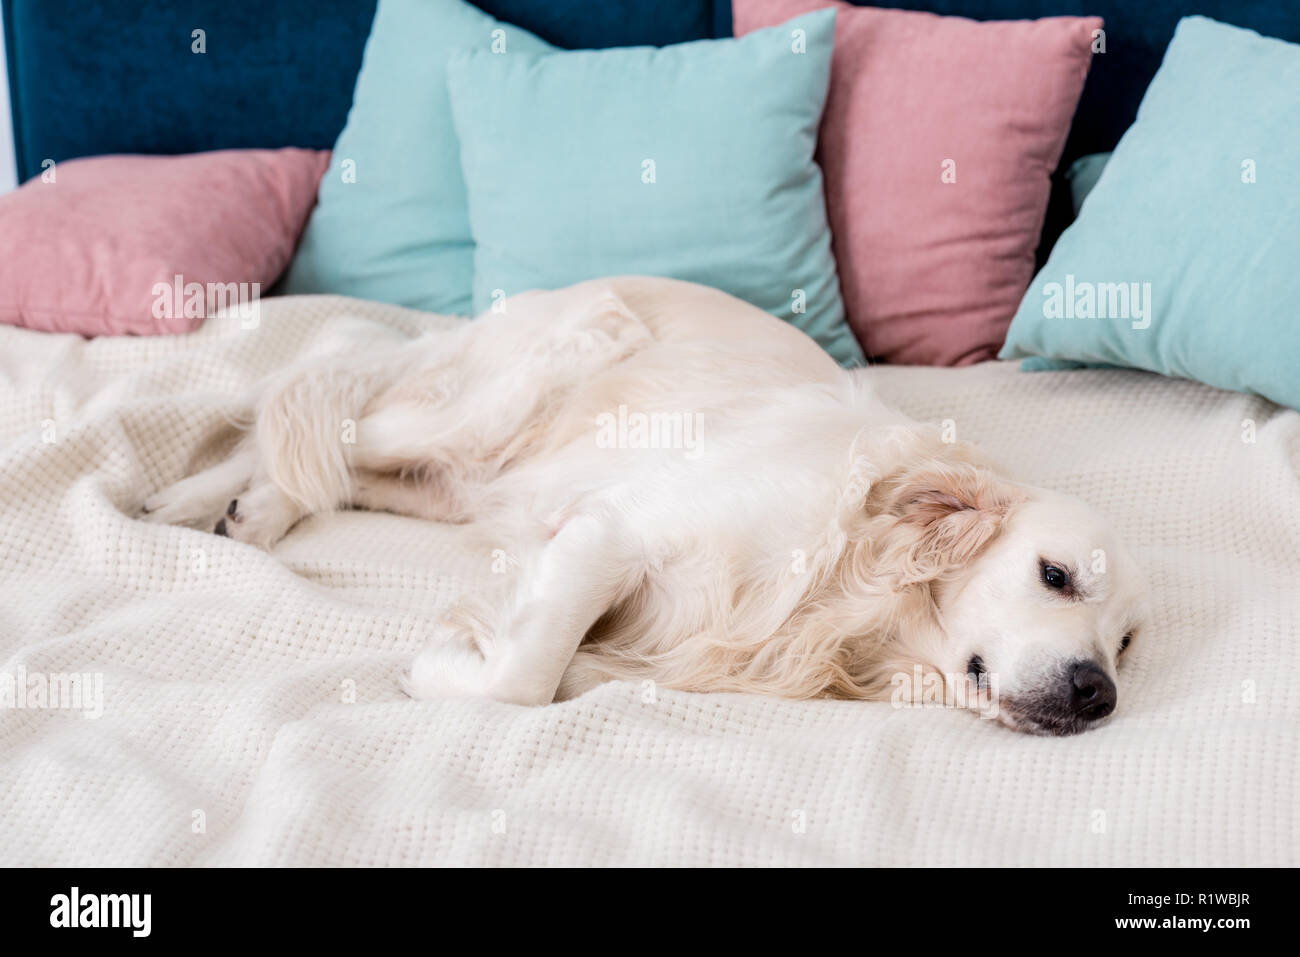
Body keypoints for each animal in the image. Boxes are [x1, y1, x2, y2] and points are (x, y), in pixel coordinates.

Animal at [139, 273, 1149, 738]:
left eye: (1128, 646)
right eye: (1055, 574)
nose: (1097, 695)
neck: (850, 591)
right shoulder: (609, 533)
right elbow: (524, 678)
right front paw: (440, 668)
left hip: (456, 482)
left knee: (327, 458)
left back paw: (250, 511)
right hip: (498, 402)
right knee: (310, 395)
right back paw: (191, 497)